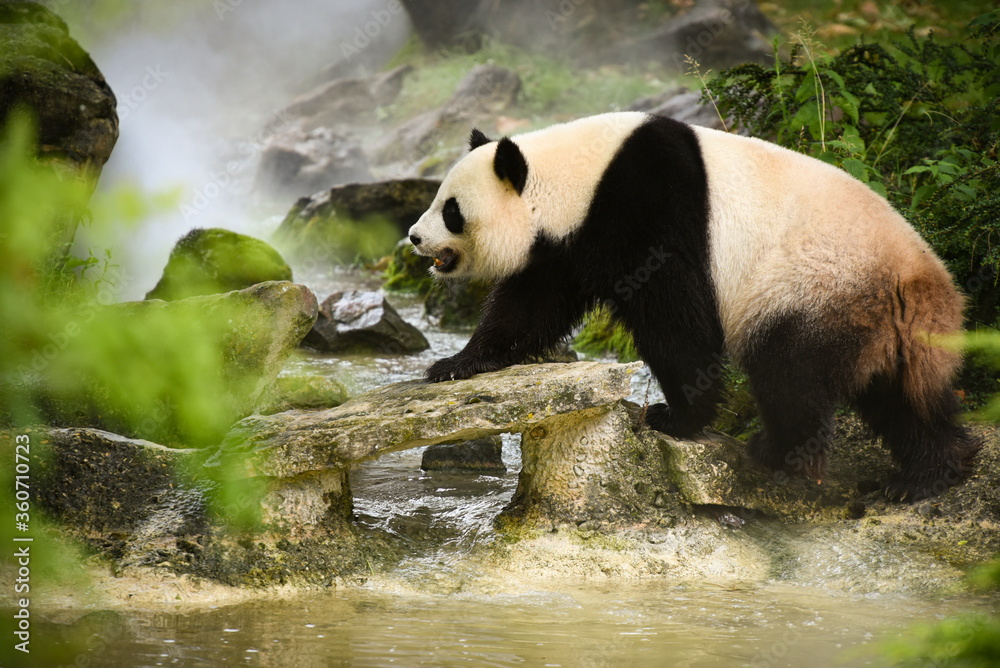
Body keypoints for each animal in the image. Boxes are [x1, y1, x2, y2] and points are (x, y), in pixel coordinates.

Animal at [407, 111, 979, 500]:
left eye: (451, 209)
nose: (414, 236)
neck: (576, 178)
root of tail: (922, 286)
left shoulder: (648, 210)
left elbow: (676, 320)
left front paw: (677, 417)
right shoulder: (568, 244)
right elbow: (530, 305)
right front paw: (457, 364)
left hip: (816, 286)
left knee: (789, 369)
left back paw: (781, 454)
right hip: (890, 328)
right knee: (904, 399)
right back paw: (927, 476)